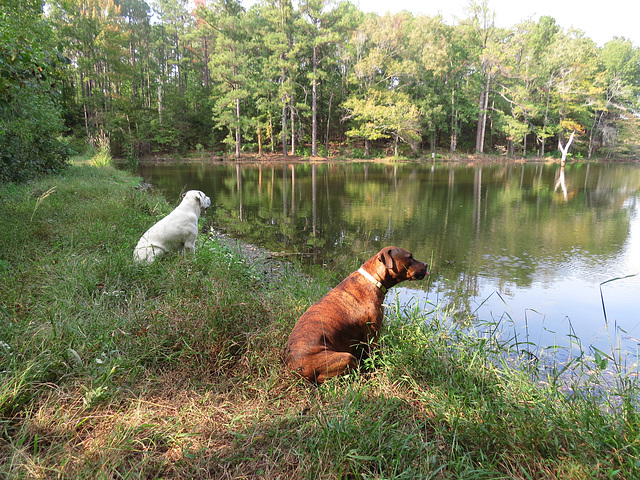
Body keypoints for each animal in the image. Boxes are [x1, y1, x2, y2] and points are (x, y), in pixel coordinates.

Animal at [284, 246, 430, 384]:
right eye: (410, 257)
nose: (427, 264)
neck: (374, 279)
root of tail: (295, 369)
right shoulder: (373, 333)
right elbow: (375, 354)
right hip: (346, 358)